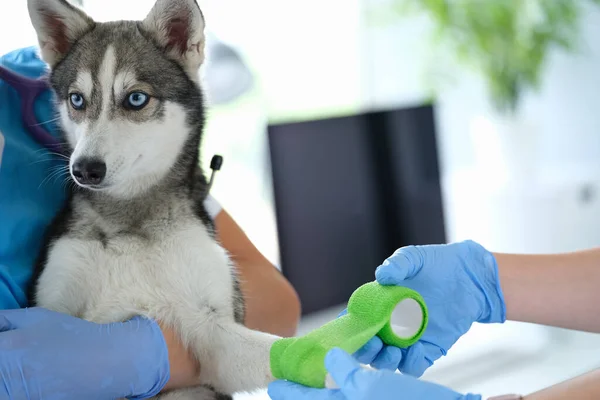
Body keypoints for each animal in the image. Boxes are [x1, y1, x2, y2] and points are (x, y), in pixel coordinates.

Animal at [26, 0, 282, 398]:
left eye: (135, 98)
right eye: (76, 100)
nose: (84, 169)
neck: (130, 217)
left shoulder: (214, 334)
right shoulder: (55, 302)